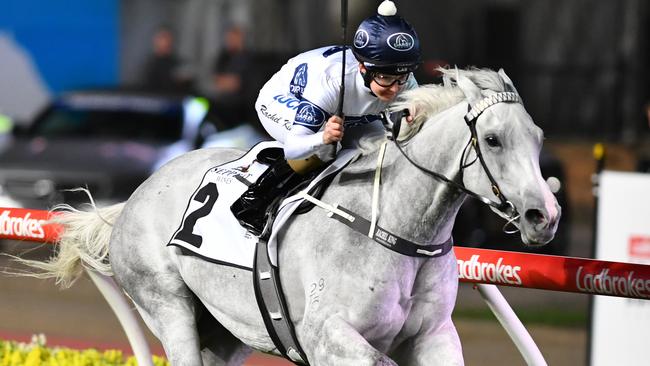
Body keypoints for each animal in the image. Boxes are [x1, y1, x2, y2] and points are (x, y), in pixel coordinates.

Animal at [29, 67, 556, 364]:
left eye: (537, 136)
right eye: (493, 140)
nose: (543, 216)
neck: (394, 233)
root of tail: (136, 196)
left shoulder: (434, 337)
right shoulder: (328, 338)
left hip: (227, 328)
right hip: (166, 304)